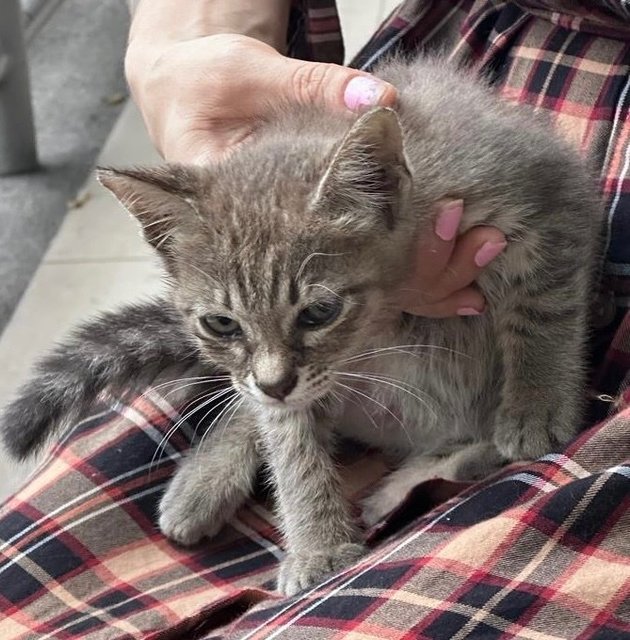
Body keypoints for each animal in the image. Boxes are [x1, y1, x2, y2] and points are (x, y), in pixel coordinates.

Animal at [1, 55, 604, 596]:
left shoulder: (543, 189)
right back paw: (204, 482)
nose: (275, 383)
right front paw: (317, 544)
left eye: (318, 312)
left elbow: (542, 307)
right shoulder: (284, 383)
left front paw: (536, 404)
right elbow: (289, 446)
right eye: (221, 324)